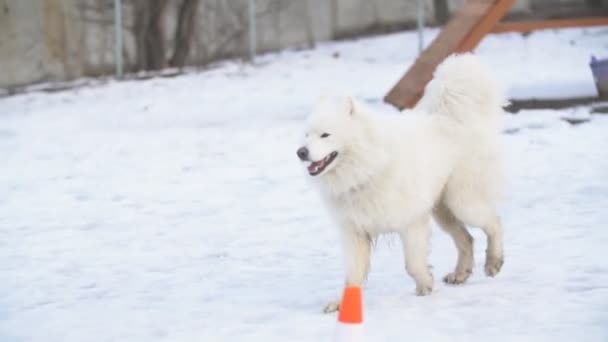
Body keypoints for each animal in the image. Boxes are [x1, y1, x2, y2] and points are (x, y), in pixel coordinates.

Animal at [296, 53, 506, 312]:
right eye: (306, 135)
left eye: (325, 135)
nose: (301, 152)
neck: (368, 168)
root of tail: (451, 118)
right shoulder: (355, 233)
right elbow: (352, 276)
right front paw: (342, 305)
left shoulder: (412, 223)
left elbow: (413, 264)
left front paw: (425, 286)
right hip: (443, 211)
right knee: (466, 238)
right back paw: (460, 274)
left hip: (462, 202)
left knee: (494, 223)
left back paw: (493, 262)